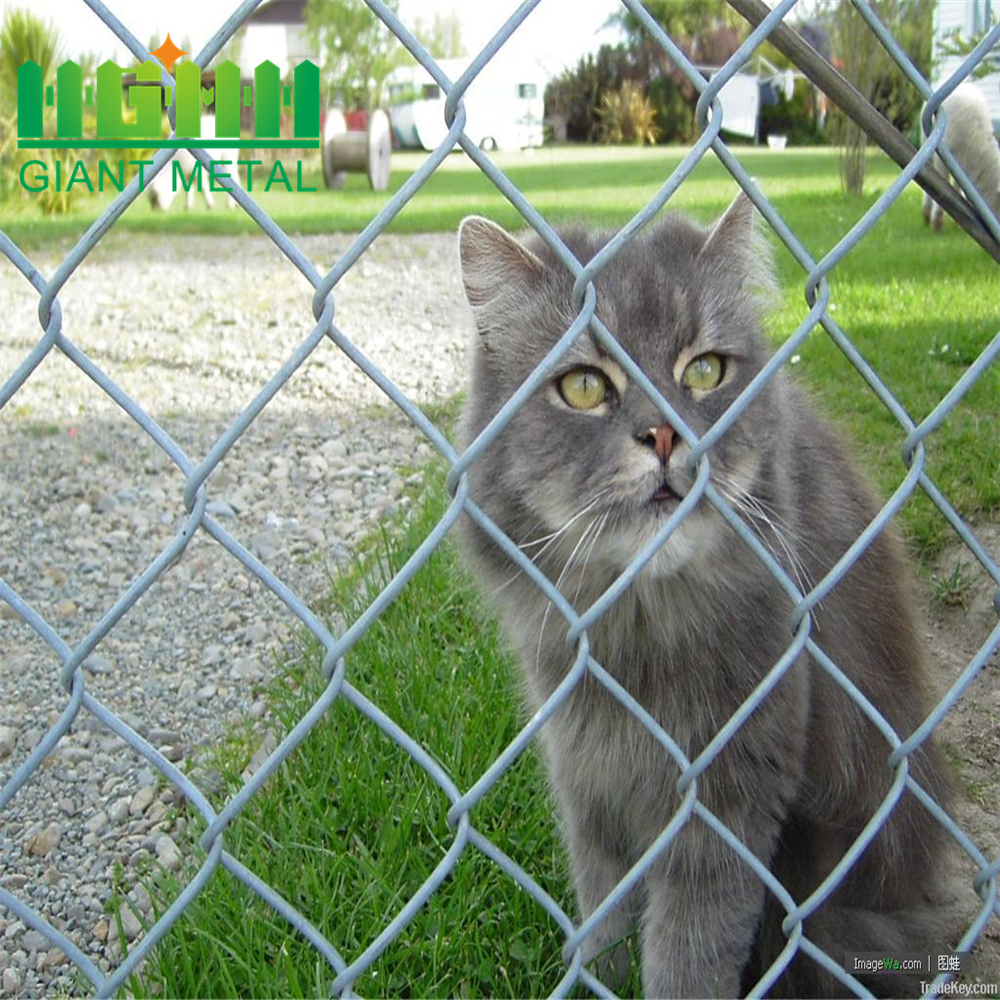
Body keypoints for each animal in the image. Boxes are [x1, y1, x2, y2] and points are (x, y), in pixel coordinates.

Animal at [458, 191, 948, 996]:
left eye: (706, 372)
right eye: (585, 386)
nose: (664, 436)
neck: (634, 632)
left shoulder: (728, 801)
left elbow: (685, 956)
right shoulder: (588, 783)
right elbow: (604, 922)